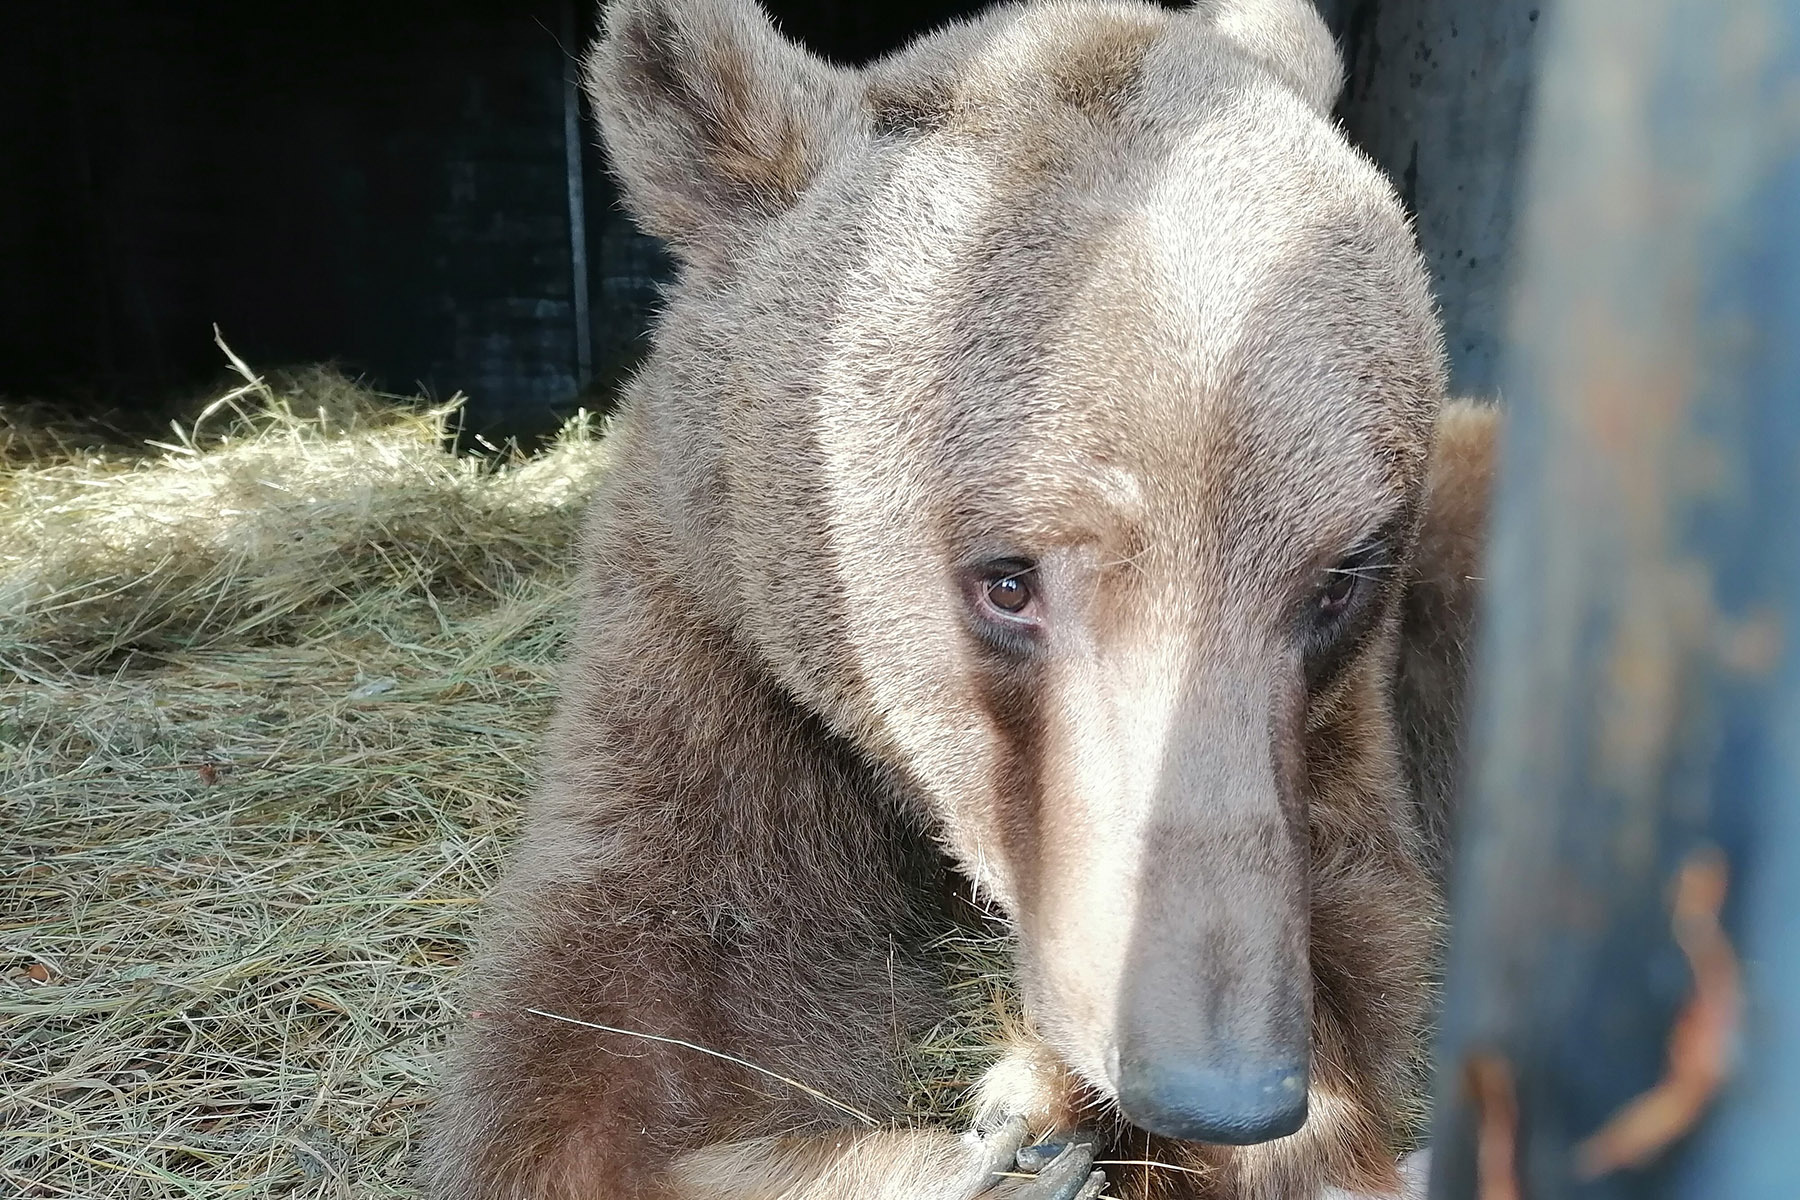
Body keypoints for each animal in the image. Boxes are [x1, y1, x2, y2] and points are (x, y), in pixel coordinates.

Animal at [424, 0, 1504, 1194]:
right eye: (1008, 581)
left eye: (1339, 578)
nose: (1222, 1081)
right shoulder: (714, 644)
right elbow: (636, 980)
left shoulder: (1335, 730)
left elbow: (1355, 912)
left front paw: (1051, 1102)